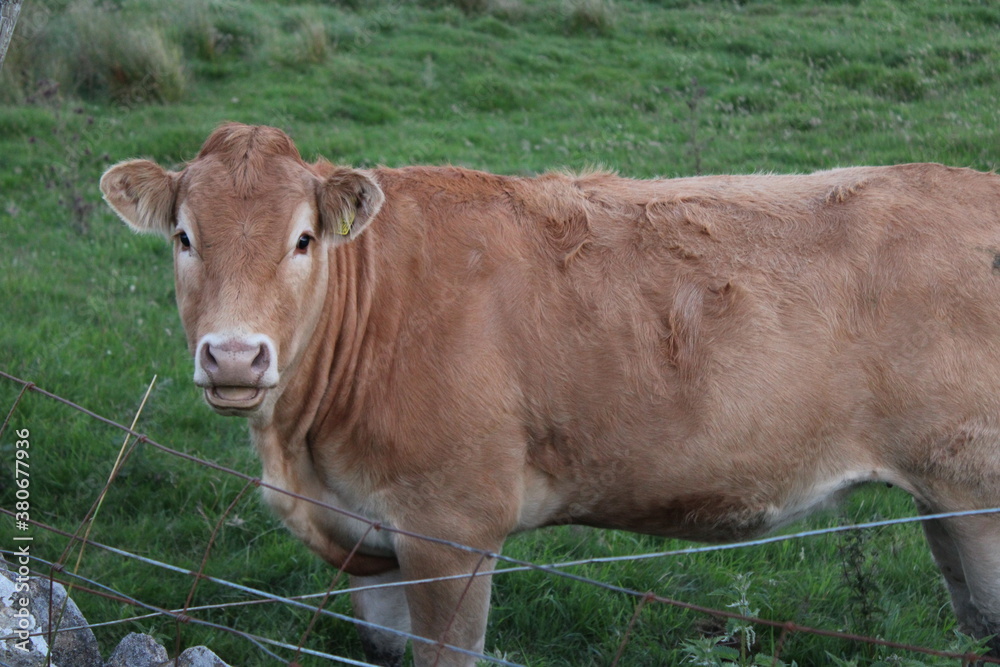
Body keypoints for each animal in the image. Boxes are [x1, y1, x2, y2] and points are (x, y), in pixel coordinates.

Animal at [100, 122, 1000, 666]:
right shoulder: (371, 545)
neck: (301, 453)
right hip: (940, 501)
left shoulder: (451, 530)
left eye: (302, 239)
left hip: (977, 495)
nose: (235, 355)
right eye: (184, 237)